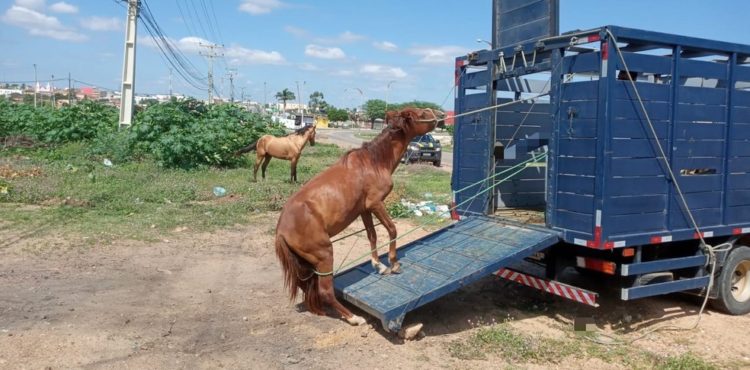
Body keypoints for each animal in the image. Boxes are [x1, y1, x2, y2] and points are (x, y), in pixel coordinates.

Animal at [274, 107, 440, 324]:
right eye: (420, 114)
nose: (439, 115)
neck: (374, 162)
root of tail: (281, 231)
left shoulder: (364, 209)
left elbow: (372, 235)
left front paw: (379, 266)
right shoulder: (376, 203)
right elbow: (392, 229)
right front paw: (394, 263)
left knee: (308, 287)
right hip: (324, 254)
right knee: (325, 291)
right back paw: (353, 318)